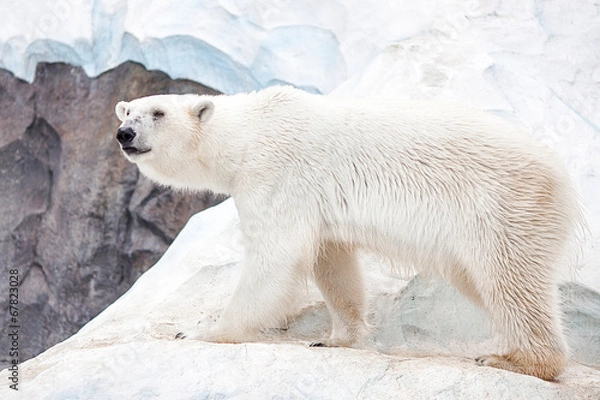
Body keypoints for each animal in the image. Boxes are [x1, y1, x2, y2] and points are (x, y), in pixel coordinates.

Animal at [115, 86, 580, 380]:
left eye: (157, 113)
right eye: (128, 110)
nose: (125, 133)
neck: (248, 134)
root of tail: (561, 174)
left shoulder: (277, 174)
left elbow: (275, 257)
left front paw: (200, 331)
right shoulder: (317, 205)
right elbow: (332, 261)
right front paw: (338, 338)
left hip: (503, 206)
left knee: (510, 278)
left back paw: (517, 361)